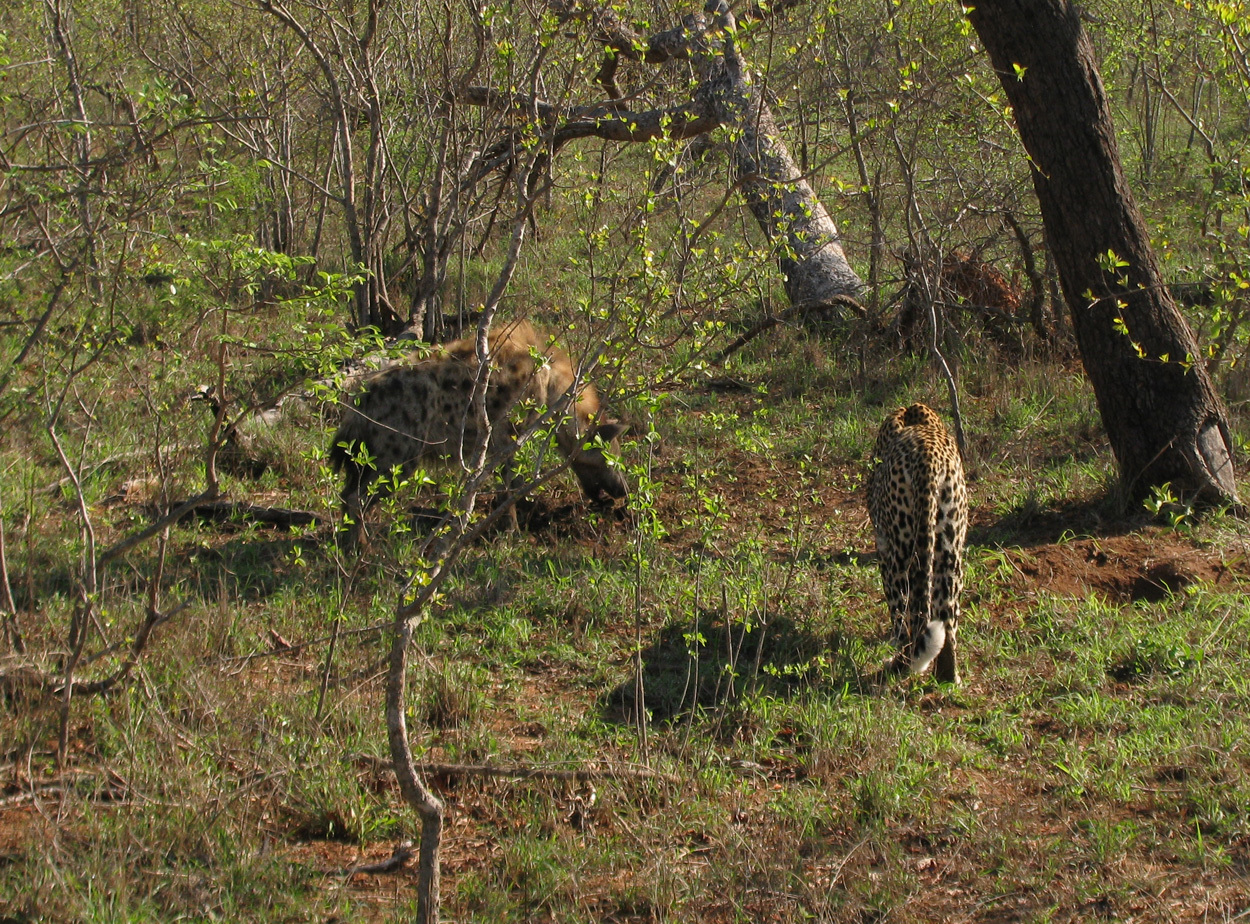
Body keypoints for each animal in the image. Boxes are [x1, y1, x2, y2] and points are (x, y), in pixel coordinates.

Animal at [870, 400, 965, 685]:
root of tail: (929, 458)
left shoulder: (884, 548)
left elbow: (897, 611)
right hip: (950, 551)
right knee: (947, 617)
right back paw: (948, 677)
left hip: (901, 551)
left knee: (908, 615)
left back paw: (900, 662)